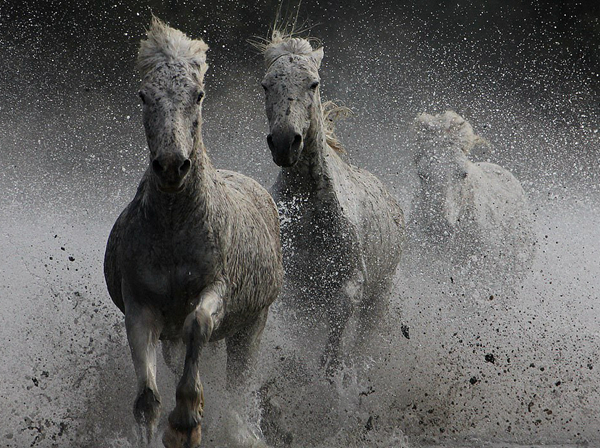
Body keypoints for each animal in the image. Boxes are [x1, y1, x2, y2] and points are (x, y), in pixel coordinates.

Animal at [103, 18, 282, 448]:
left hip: (251, 326)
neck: (175, 229)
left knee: (238, 381)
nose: (172, 166)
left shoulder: (216, 290)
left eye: (198, 95)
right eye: (144, 96)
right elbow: (146, 401)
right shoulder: (141, 309)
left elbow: (198, 325)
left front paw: (186, 421)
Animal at [258, 29, 406, 376]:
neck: (312, 214)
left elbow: (332, 357)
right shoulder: (296, 295)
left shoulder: (348, 290)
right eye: (266, 85)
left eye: (313, 83)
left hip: (378, 298)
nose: (285, 143)